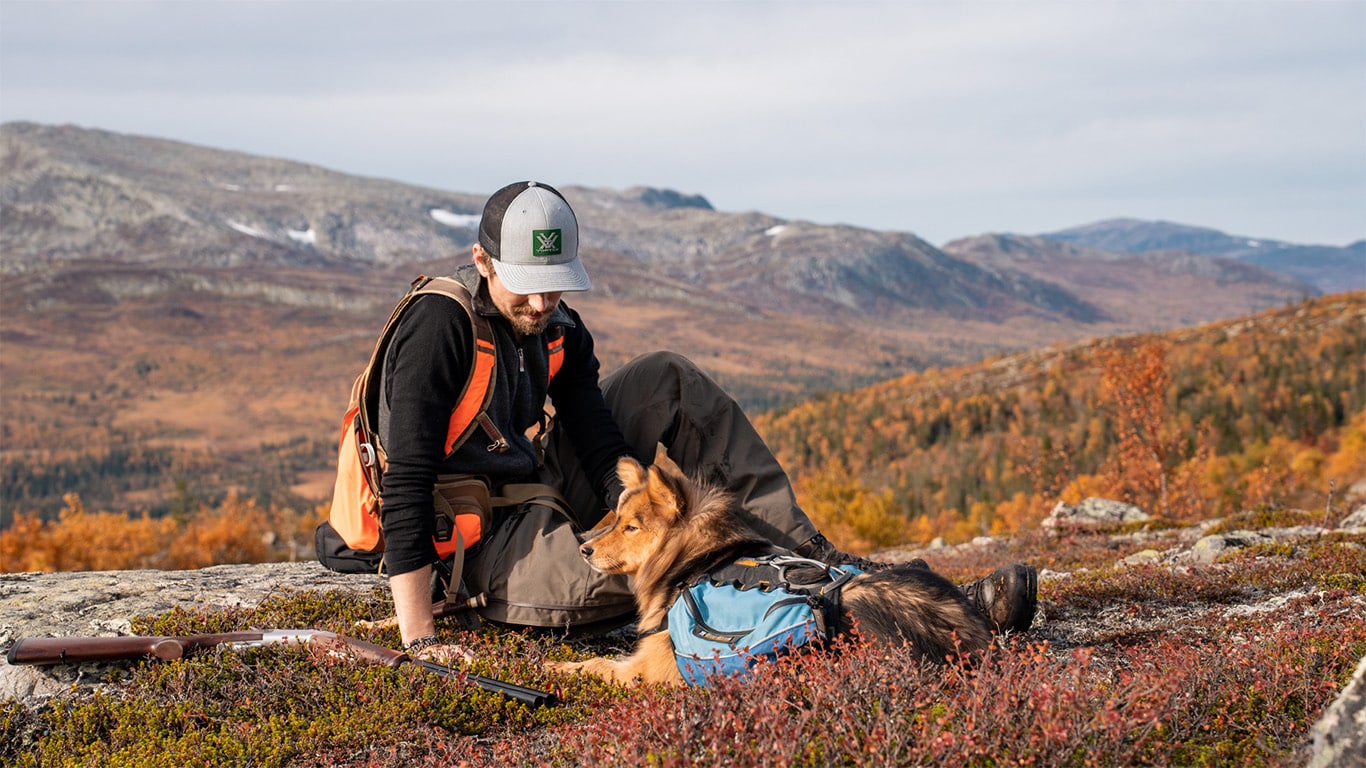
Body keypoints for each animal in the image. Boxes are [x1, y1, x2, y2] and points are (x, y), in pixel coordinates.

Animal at [546, 450, 994, 683]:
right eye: (616, 518)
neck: (691, 560)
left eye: (631, 527)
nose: (584, 549)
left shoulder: (650, 670)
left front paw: (556, 667)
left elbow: (595, 664)